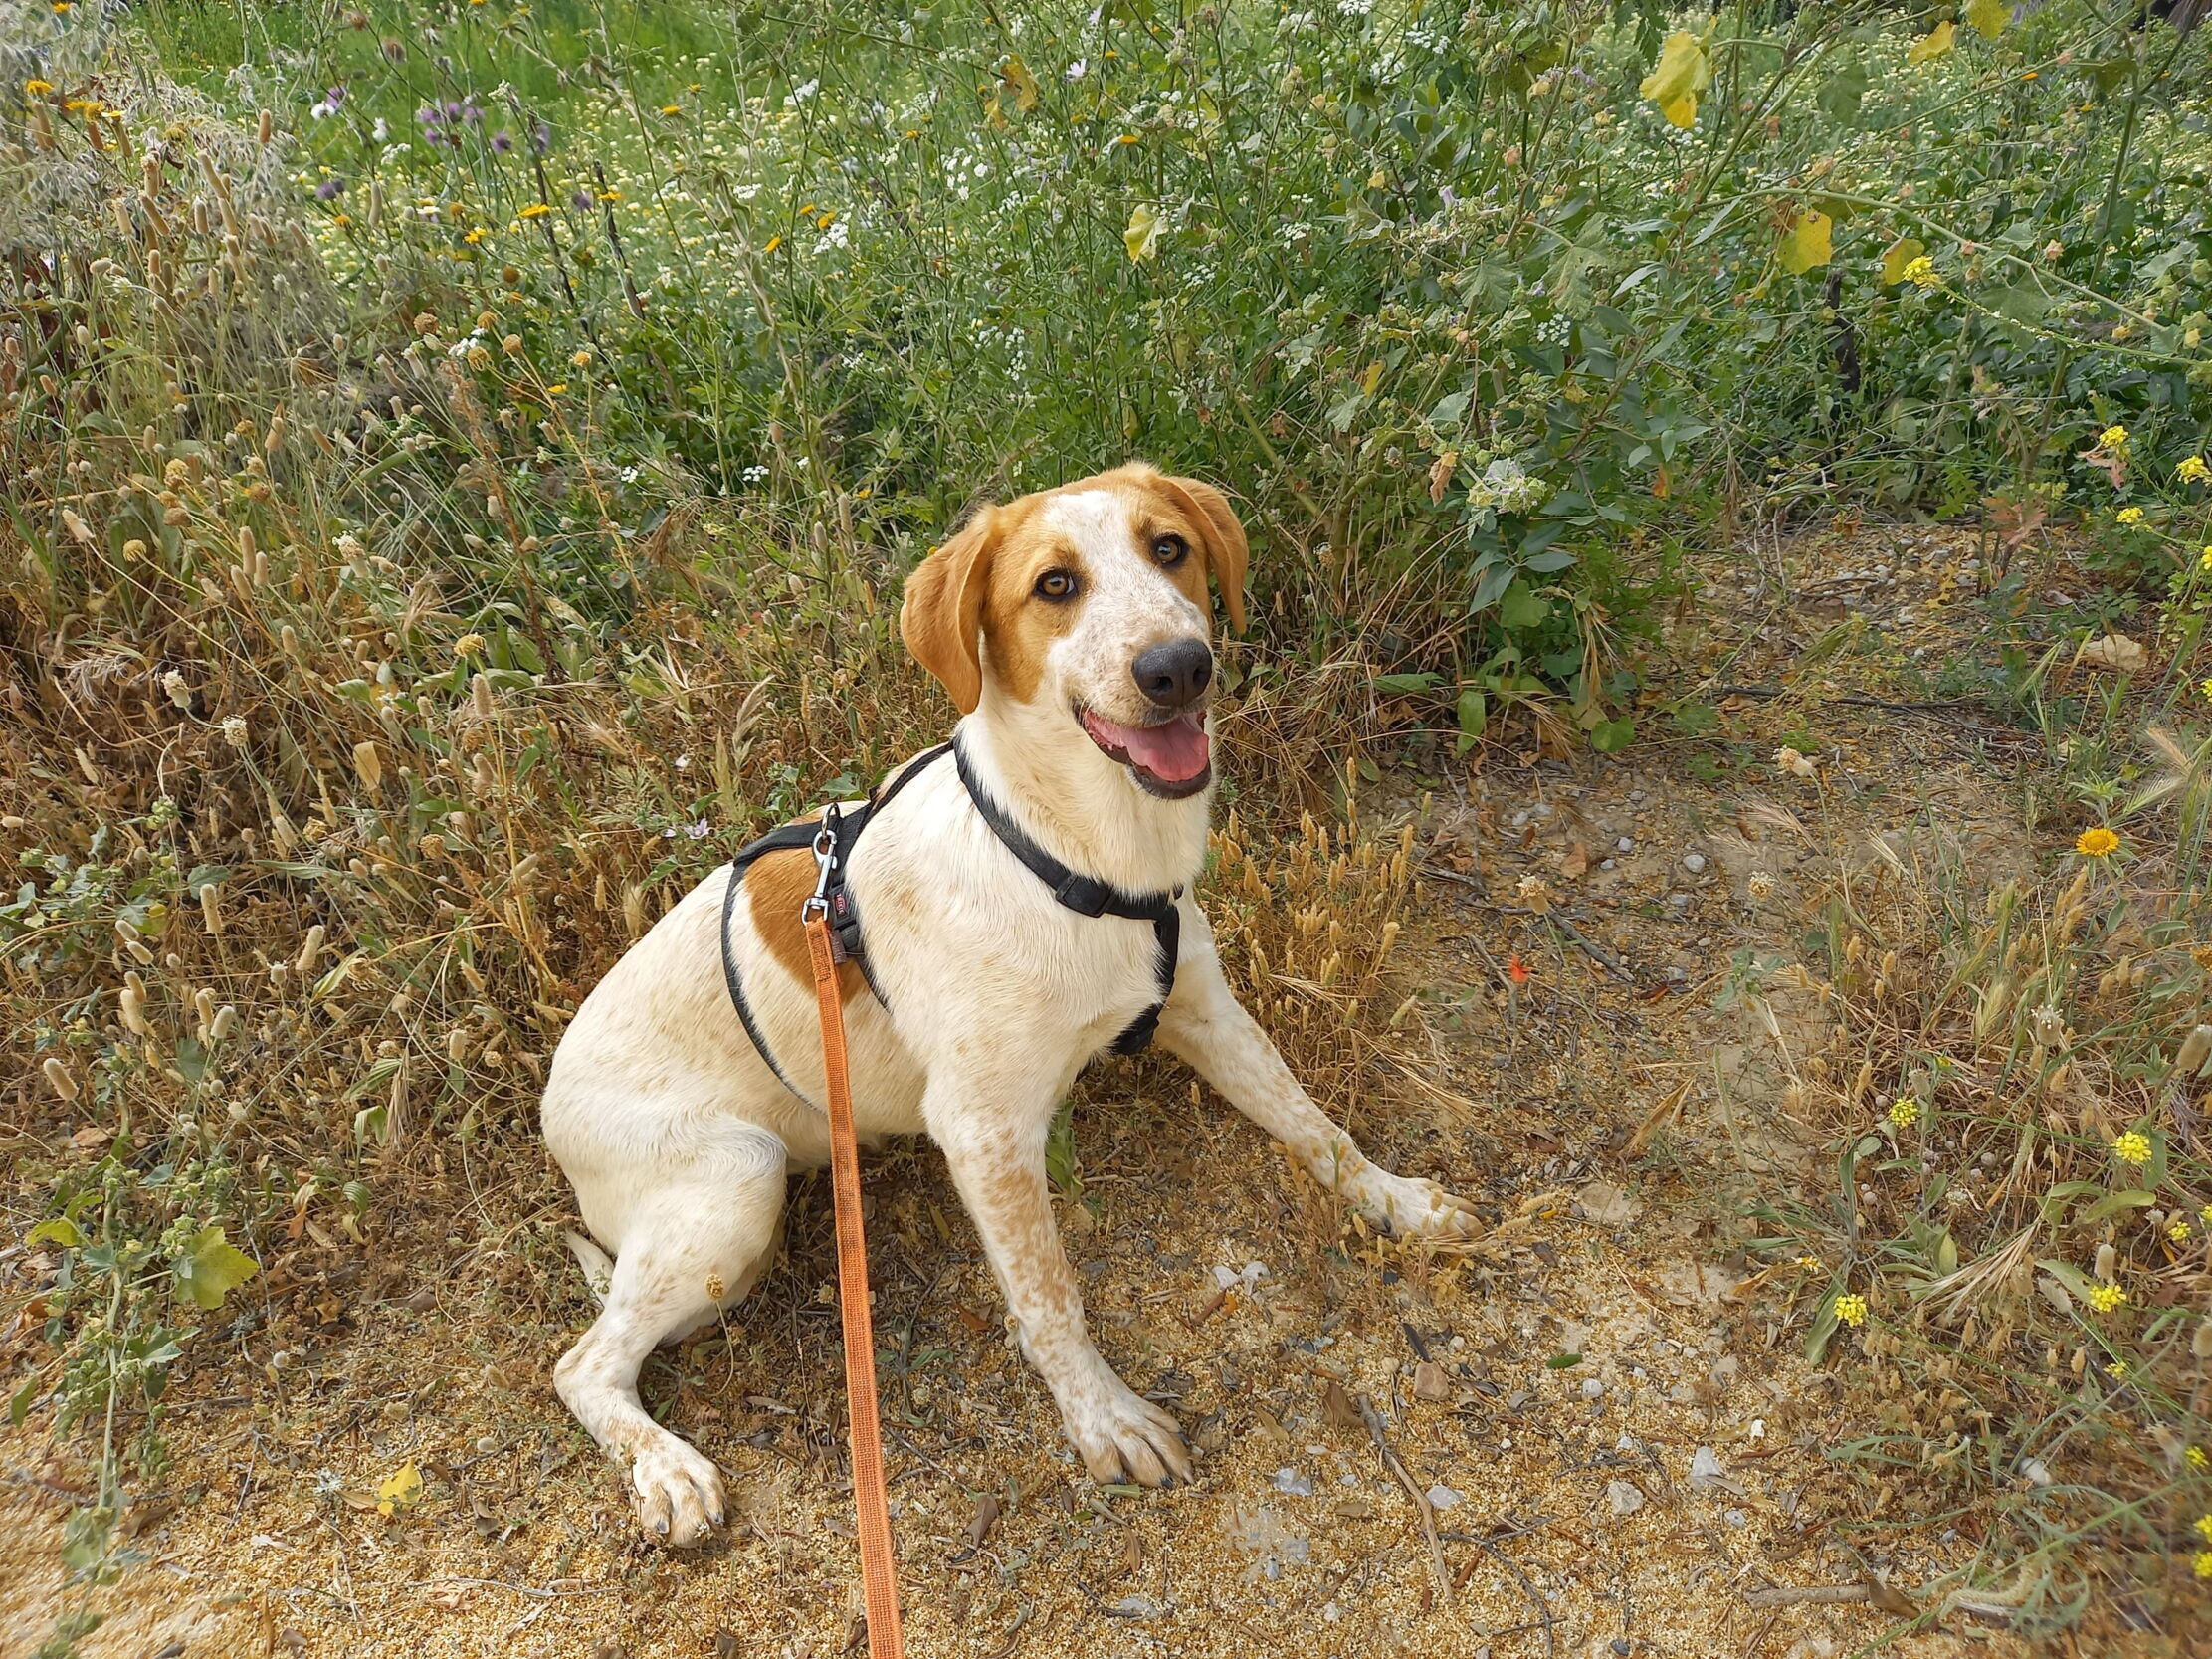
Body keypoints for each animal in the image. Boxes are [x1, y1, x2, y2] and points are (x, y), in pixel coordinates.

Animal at [540, 463, 1478, 1543]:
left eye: (1168, 548)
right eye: (1054, 585)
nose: (1178, 667)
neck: (1077, 854)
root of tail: (549, 1105)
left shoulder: (1205, 1008)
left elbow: (1316, 1126)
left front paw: (1397, 1201)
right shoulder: (984, 1130)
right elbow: (1049, 1292)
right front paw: (1105, 1417)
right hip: (737, 1181)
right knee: (583, 1362)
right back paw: (666, 1467)